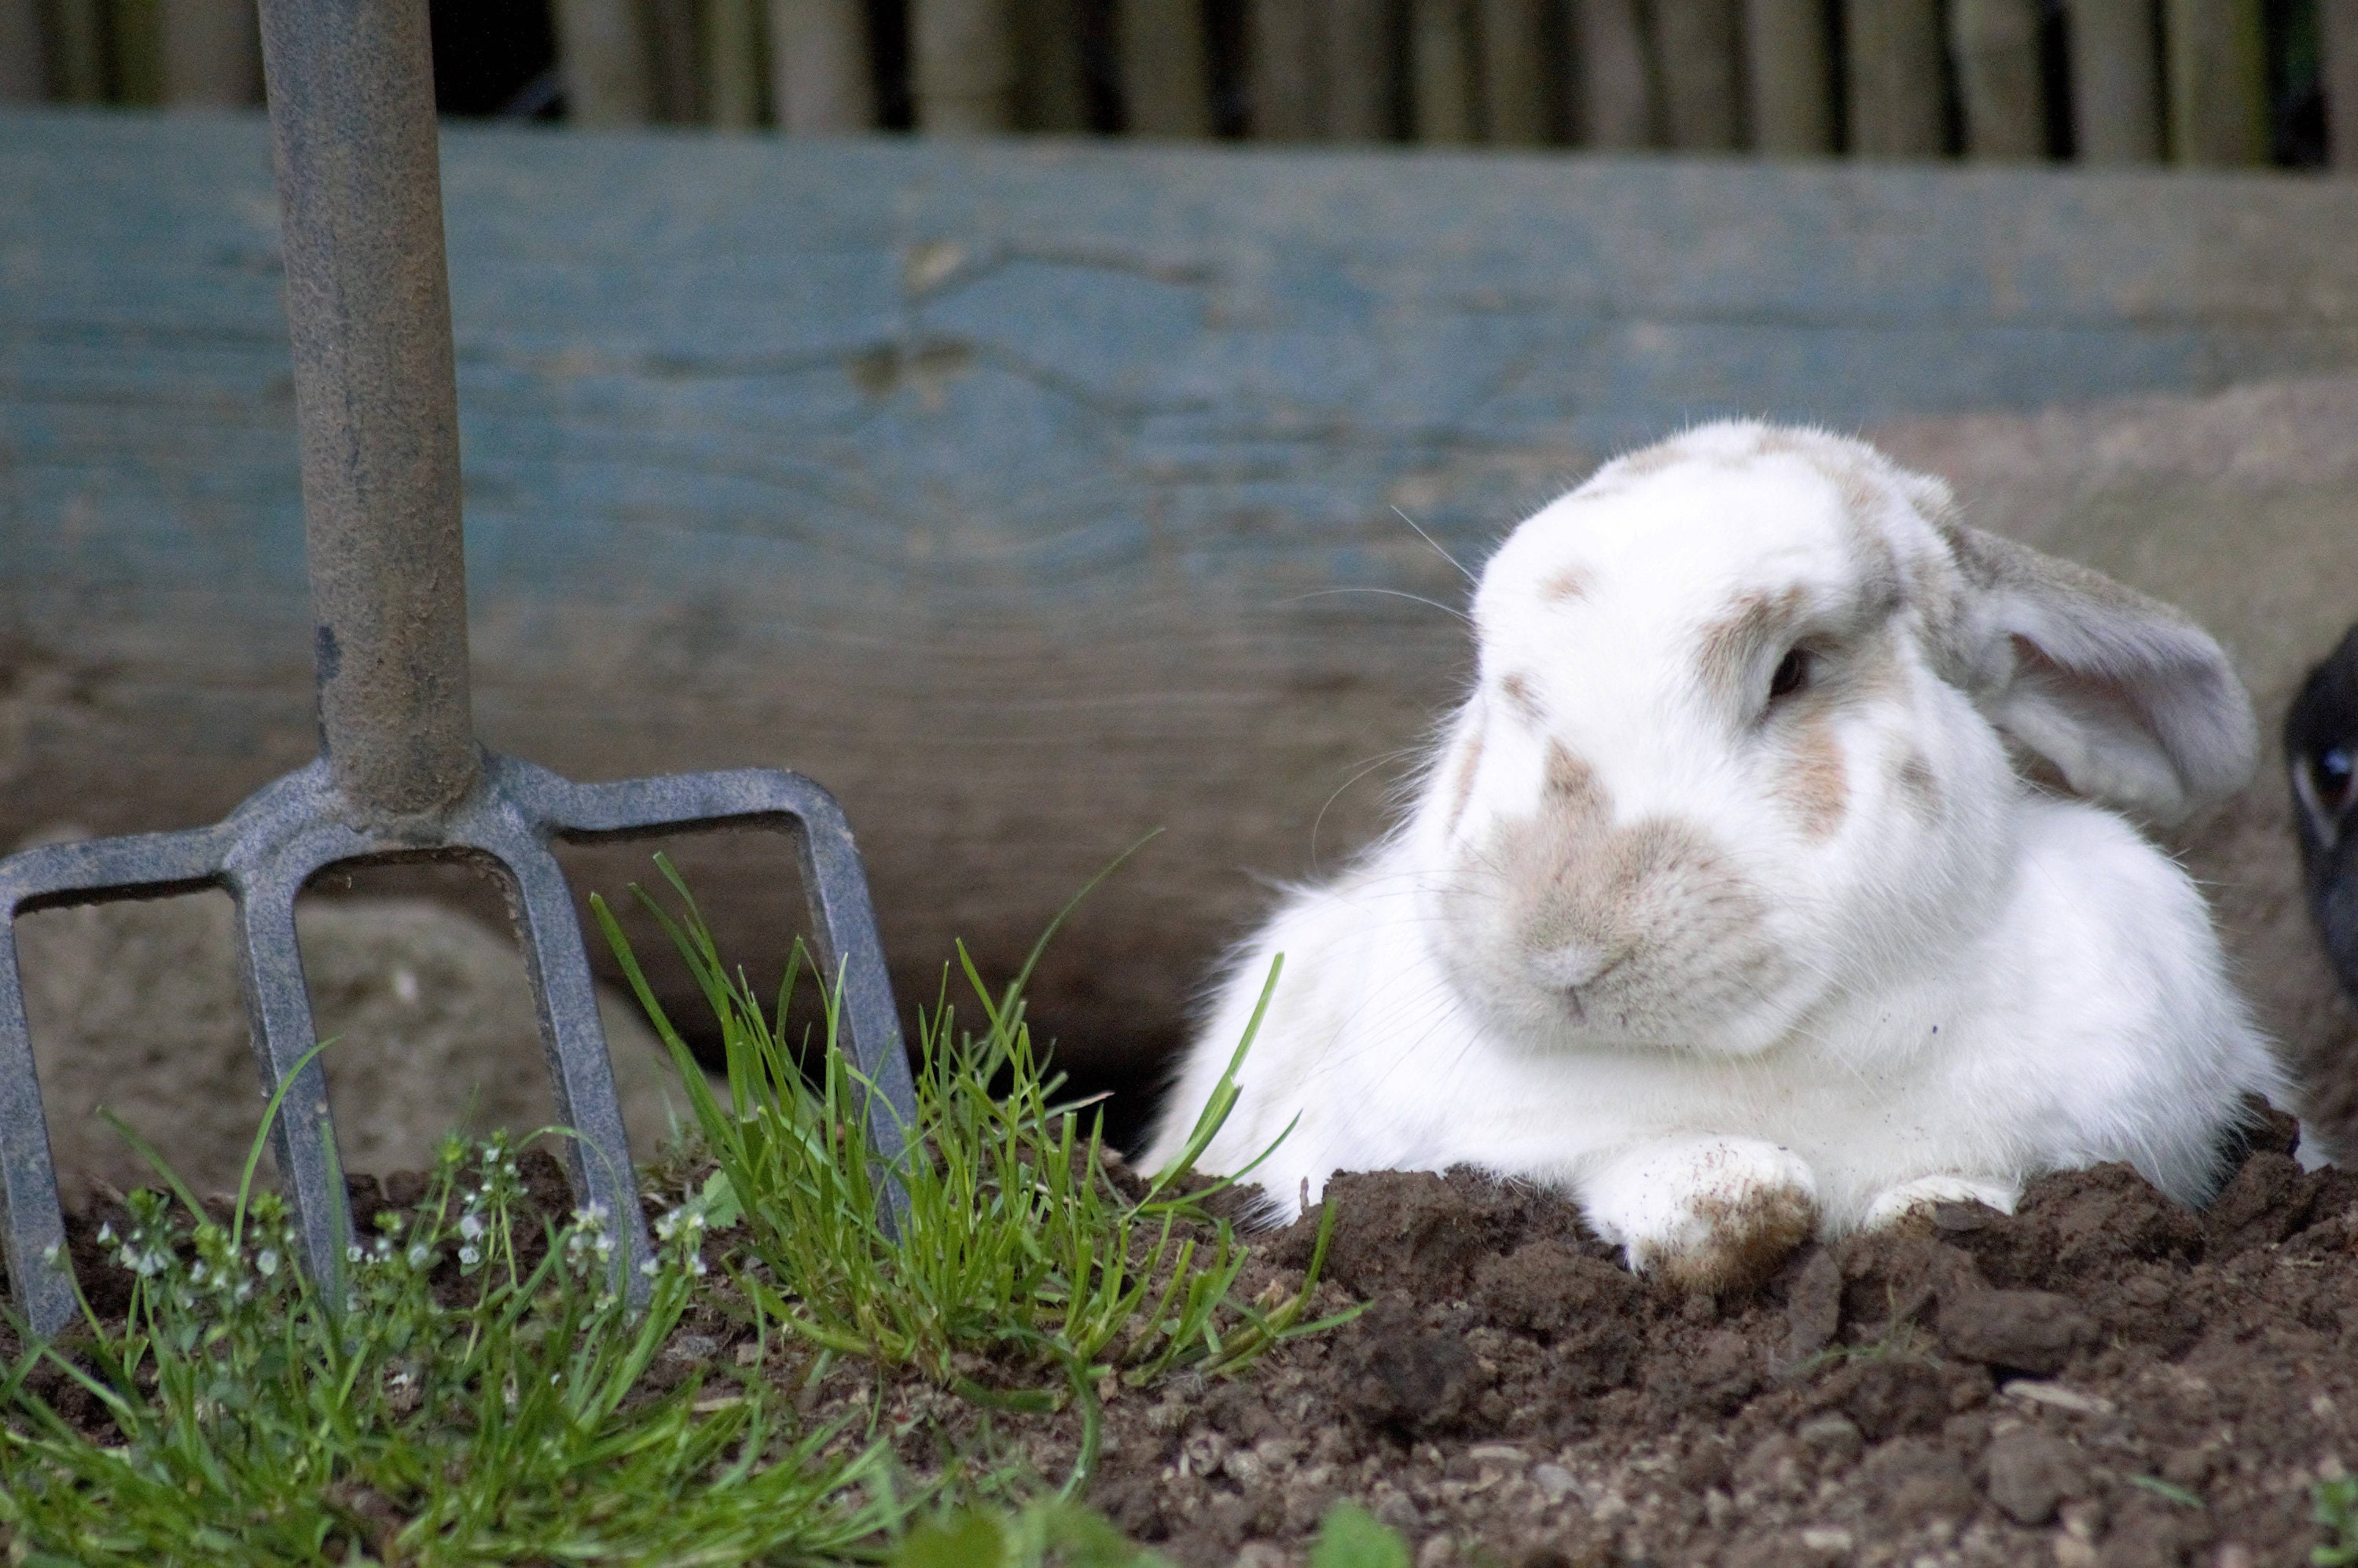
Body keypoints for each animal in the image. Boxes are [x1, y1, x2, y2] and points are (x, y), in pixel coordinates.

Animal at [1141, 420, 2291, 1293]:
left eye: (1792, 671)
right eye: (1497, 683)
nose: (1564, 949)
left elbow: (1948, 1197)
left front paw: (1932, 1213)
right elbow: (1707, 1195)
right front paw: (1746, 1203)